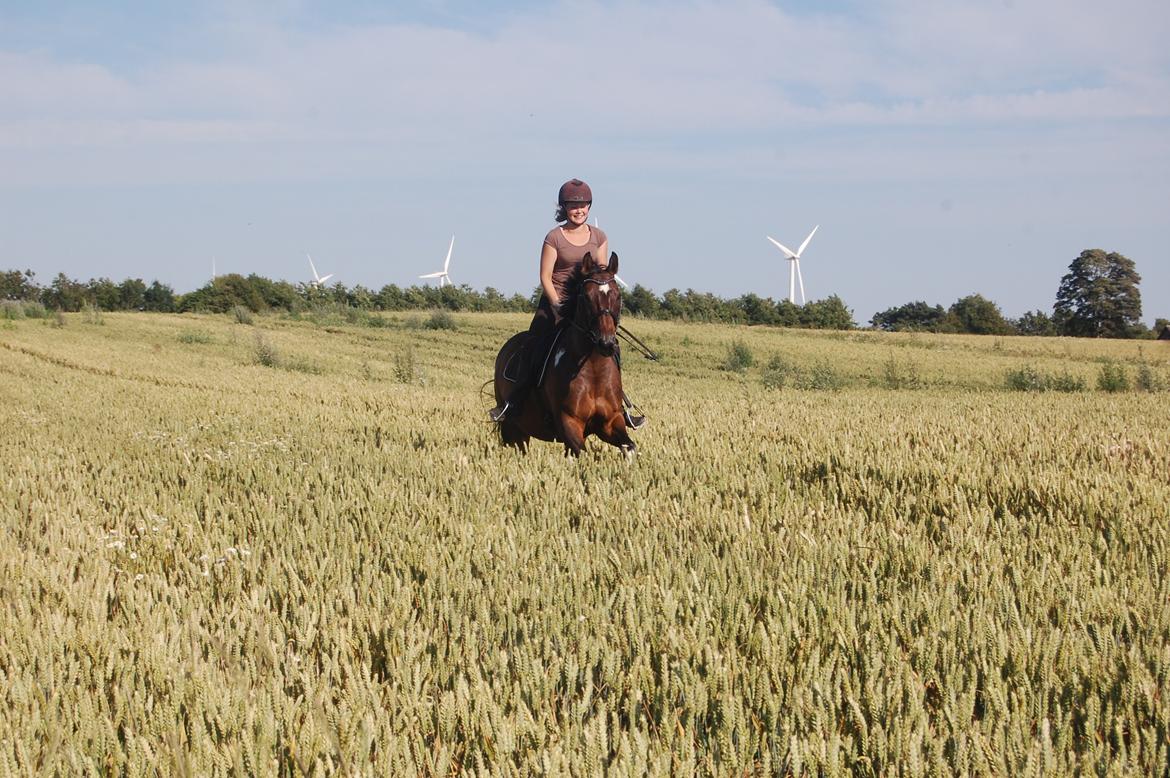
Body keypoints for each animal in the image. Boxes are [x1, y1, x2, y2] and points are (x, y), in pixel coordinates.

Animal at [493, 249, 641, 456]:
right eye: (586, 297)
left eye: (618, 296)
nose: (606, 343)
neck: (593, 368)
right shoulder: (568, 422)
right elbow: (582, 453)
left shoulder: (611, 422)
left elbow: (630, 448)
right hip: (513, 427)